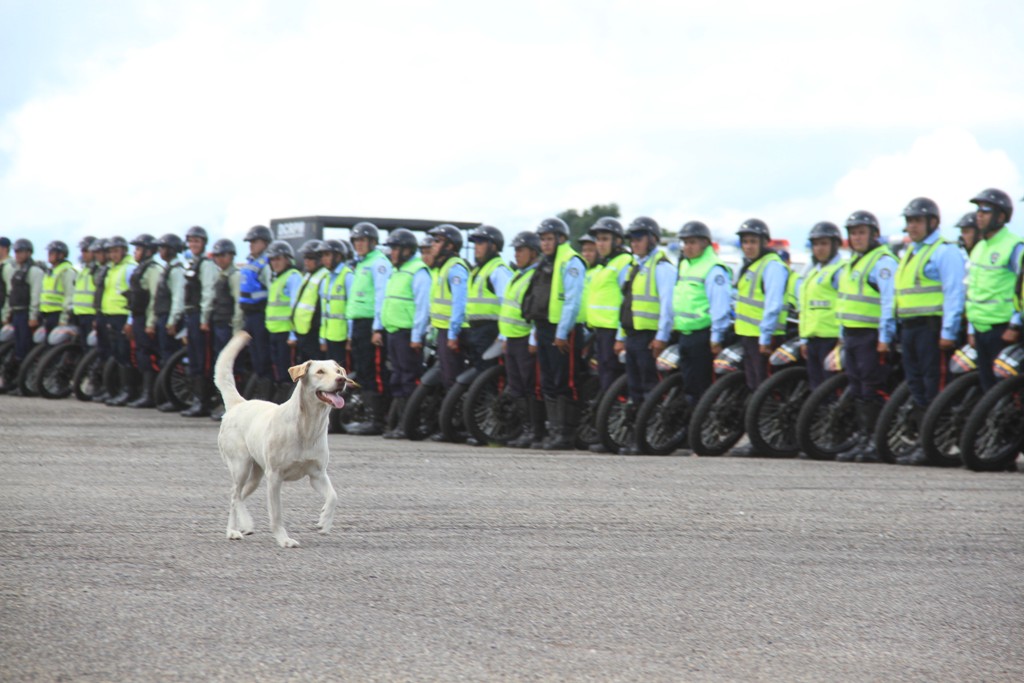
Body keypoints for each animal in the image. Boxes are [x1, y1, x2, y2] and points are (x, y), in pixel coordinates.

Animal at [214, 331, 358, 548]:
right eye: (320, 371)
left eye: (338, 371)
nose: (341, 380)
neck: (307, 426)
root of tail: (239, 404)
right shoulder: (275, 477)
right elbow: (276, 514)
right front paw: (284, 539)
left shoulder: (317, 474)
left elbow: (333, 496)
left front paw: (324, 521)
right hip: (241, 466)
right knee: (234, 495)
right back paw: (233, 531)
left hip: (256, 474)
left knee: (240, 496)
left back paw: (245, 525)